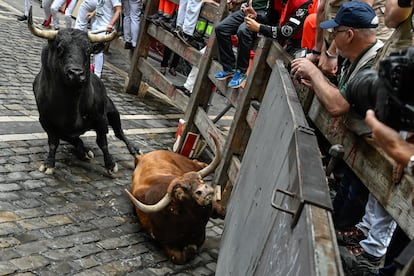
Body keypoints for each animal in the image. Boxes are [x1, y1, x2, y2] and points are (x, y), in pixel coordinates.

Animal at [29, 10, 140, 176]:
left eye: (88, 51)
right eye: (60, 48)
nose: (76, 73)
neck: (71, 103)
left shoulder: (101, 119)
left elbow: (103, 143)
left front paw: (110, 164)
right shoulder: (46, 122)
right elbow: (53, 143)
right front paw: (49, 163)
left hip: (113, 111)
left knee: (119, 133)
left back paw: (134, 150)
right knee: (77, 140)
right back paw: (84, 152)